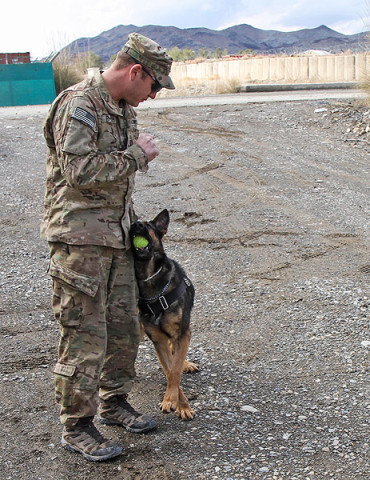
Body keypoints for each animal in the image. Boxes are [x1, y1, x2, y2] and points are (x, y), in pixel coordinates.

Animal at [131, 210, 199, 420]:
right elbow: (170, 372)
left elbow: (175, 370)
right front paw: (176, 401)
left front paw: (180, 404)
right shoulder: (158, 340)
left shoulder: (183, 333)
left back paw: (186, 362)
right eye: (133, 225)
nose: (136, 225)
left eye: (148, 226)